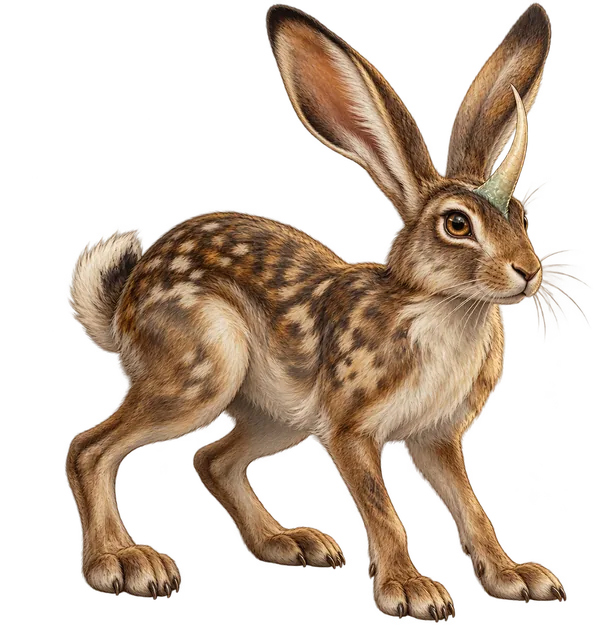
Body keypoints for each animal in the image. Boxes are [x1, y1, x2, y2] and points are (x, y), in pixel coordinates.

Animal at [65, 0, 573, 622]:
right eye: (457, 224)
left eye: (520, 214)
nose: (529, 270)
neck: (439, 306)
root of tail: (125, 306)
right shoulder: (350, 428)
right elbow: (382, 509)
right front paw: (412, 591)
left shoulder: (435, 437)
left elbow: (470, 508)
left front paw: (516, 578)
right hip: (199, 373)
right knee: (90, 449)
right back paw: (126, 564)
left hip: (274, 417)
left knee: (213, 460)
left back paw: (290, 542)